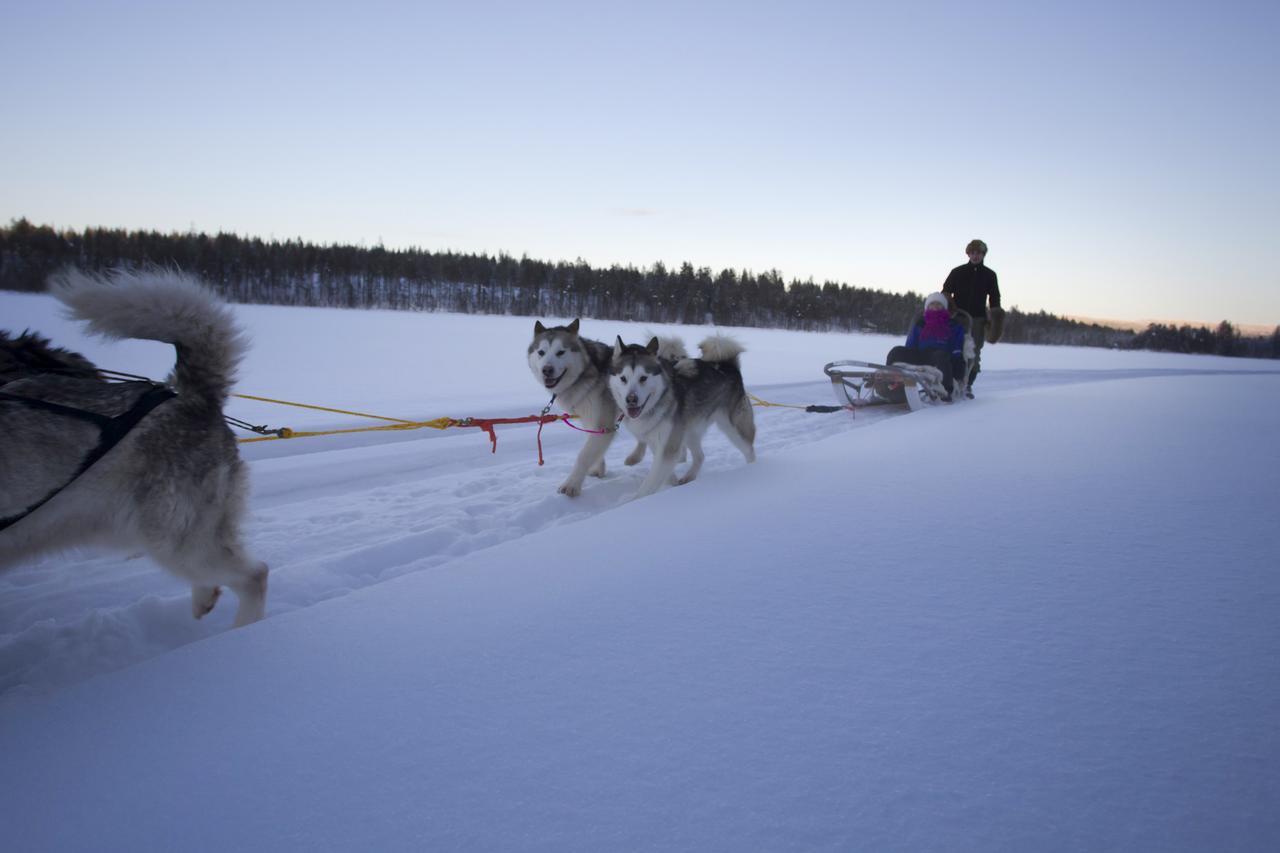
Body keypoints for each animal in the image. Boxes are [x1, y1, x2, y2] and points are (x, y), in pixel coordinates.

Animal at [524, 317, 686, 491]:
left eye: (560, 352)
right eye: (541, 352)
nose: (547, 370)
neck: (587, 371)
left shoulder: (603, 422)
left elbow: (584, 455)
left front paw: (571, 485)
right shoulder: (590, 419)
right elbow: (593, 446)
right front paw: (598, 469)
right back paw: (637, 457)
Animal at [606, 333, 752, 499]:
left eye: (643, 378)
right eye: (623, 378)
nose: (631, 399)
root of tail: (728, 365)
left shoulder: (668, 446)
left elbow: (649, 483)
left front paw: (635, 500)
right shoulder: (658, 442)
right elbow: (664, 473)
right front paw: (672, 484)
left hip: (733, 428)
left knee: (749, 451)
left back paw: (752, 470)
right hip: (689, 431)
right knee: (700, 456)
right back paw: (689, 477)